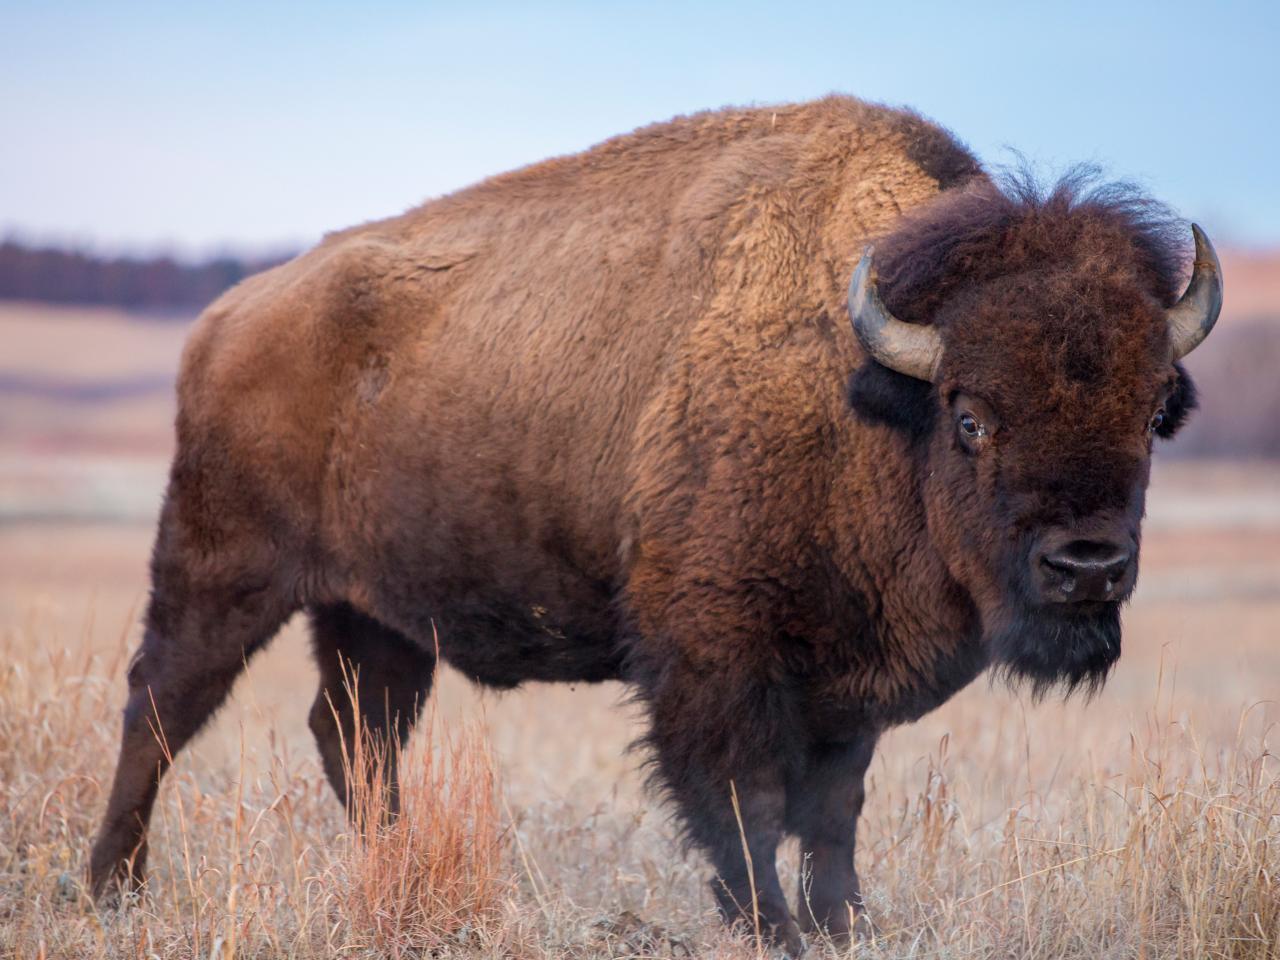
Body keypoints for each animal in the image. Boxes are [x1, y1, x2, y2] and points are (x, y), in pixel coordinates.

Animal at [87, 94, 1218, 952]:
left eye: (1149, 410)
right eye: (972, 415)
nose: (1085, 565)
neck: (864, 393)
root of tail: (227, 319)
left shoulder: (843, 682)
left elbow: (834, 809)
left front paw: (846, 923)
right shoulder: (713, 658)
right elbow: (742, 804)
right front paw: (772, 928)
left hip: (374, 616)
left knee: (355, 735)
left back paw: (393, 872)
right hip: (223, 568)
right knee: (161, 706)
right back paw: (111, 889)